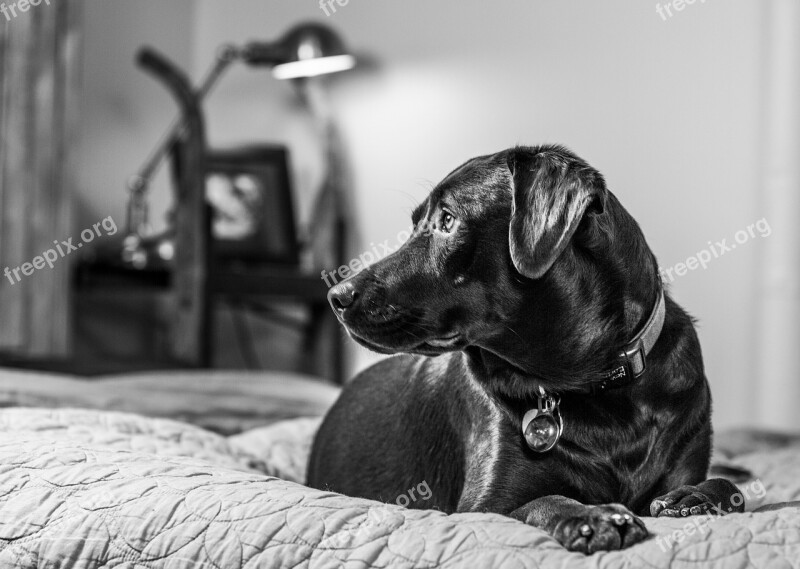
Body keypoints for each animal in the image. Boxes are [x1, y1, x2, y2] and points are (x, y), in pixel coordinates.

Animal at [308, 144, 744, 552]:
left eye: (447, 220)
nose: (335, 295)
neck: (593, 384)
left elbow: (726, 485)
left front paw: (694, 499)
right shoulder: (481, 508)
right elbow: (542, 500)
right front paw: (594, 515)